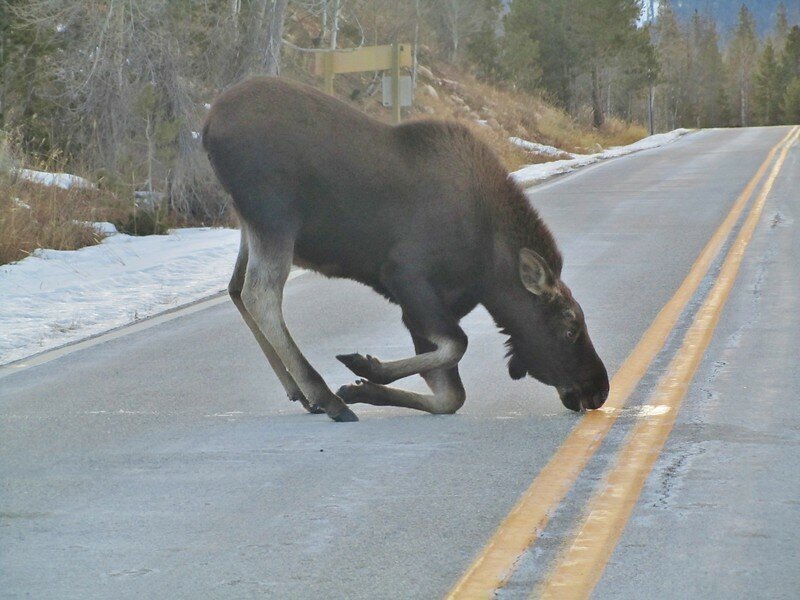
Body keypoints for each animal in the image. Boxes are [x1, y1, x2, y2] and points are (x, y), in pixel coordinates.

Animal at [203, 77, 608, 422]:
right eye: (570, 326)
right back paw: (324, 395)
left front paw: (364, 386)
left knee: (236, 289)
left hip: (250, 224)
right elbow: (457, 346)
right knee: (261, 295)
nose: (600, 389)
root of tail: (208, 127)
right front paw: (365, 368)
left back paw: (300, 391)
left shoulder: (425, 310)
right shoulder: (406, 275)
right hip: (275, 218)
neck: (490, 271)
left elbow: (451, 395)